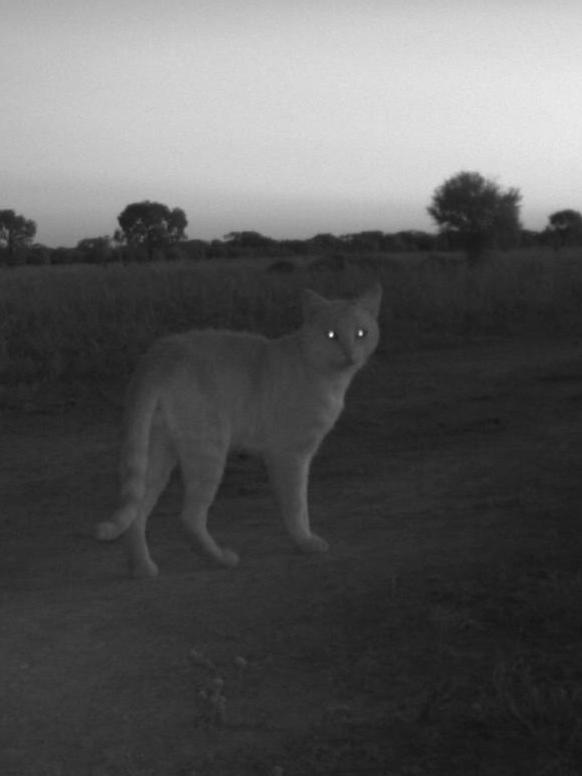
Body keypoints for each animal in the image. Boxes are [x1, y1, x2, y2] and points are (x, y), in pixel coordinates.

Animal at [94, 284, 384, 576]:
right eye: (331, 335)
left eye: (361, 334)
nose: (350, 354)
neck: (323, 374)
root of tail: (160, 352)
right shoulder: (291, 455)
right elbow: (296, 505)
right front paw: (305, 541)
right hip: (207, 453)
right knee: (189, 518)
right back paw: (220, 559)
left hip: (158, 454)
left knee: (137, 514)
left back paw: (143, 568)